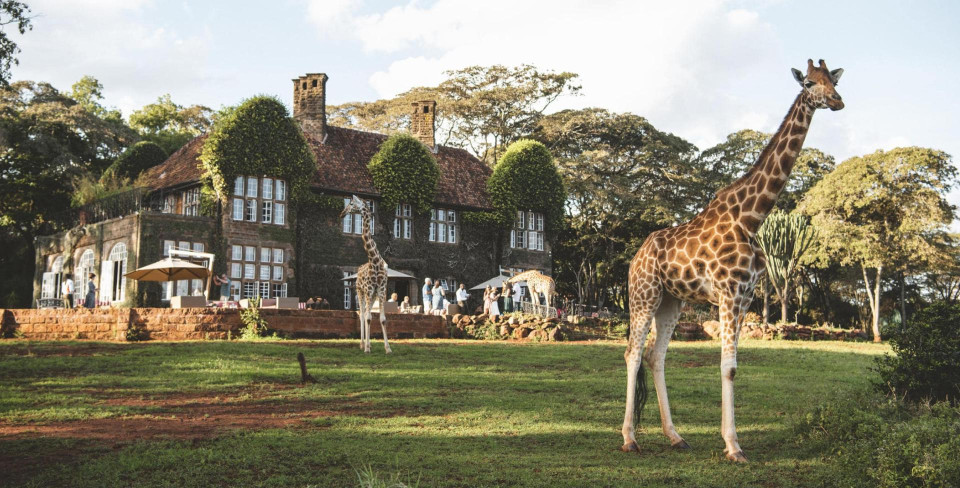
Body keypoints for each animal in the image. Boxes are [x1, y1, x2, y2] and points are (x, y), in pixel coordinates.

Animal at [341, 195, 392, 354]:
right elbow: (368, 318)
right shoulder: (368, 289)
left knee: (365, 313)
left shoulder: (381, 290)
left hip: (372, 294)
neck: (374, 260)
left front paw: (388, 348)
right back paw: (363, 344)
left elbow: (382, 319)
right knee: (362, 314)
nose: (342, 213)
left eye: (351, 203)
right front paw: (368, 348)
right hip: (360, 291)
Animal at [620, 60, 844, 462]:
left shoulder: (745, 296)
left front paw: (732, 442)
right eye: (808, 83)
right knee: (632, 353)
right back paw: (629, 438)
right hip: (643, 294)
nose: (837, 101)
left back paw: (675, 436)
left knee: (655, 357)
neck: (753, 216)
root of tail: (636, 257)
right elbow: (727, 368)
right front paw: (733, 446)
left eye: (832, 81)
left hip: (672, 301)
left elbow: (733, 367)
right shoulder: (728, 293)